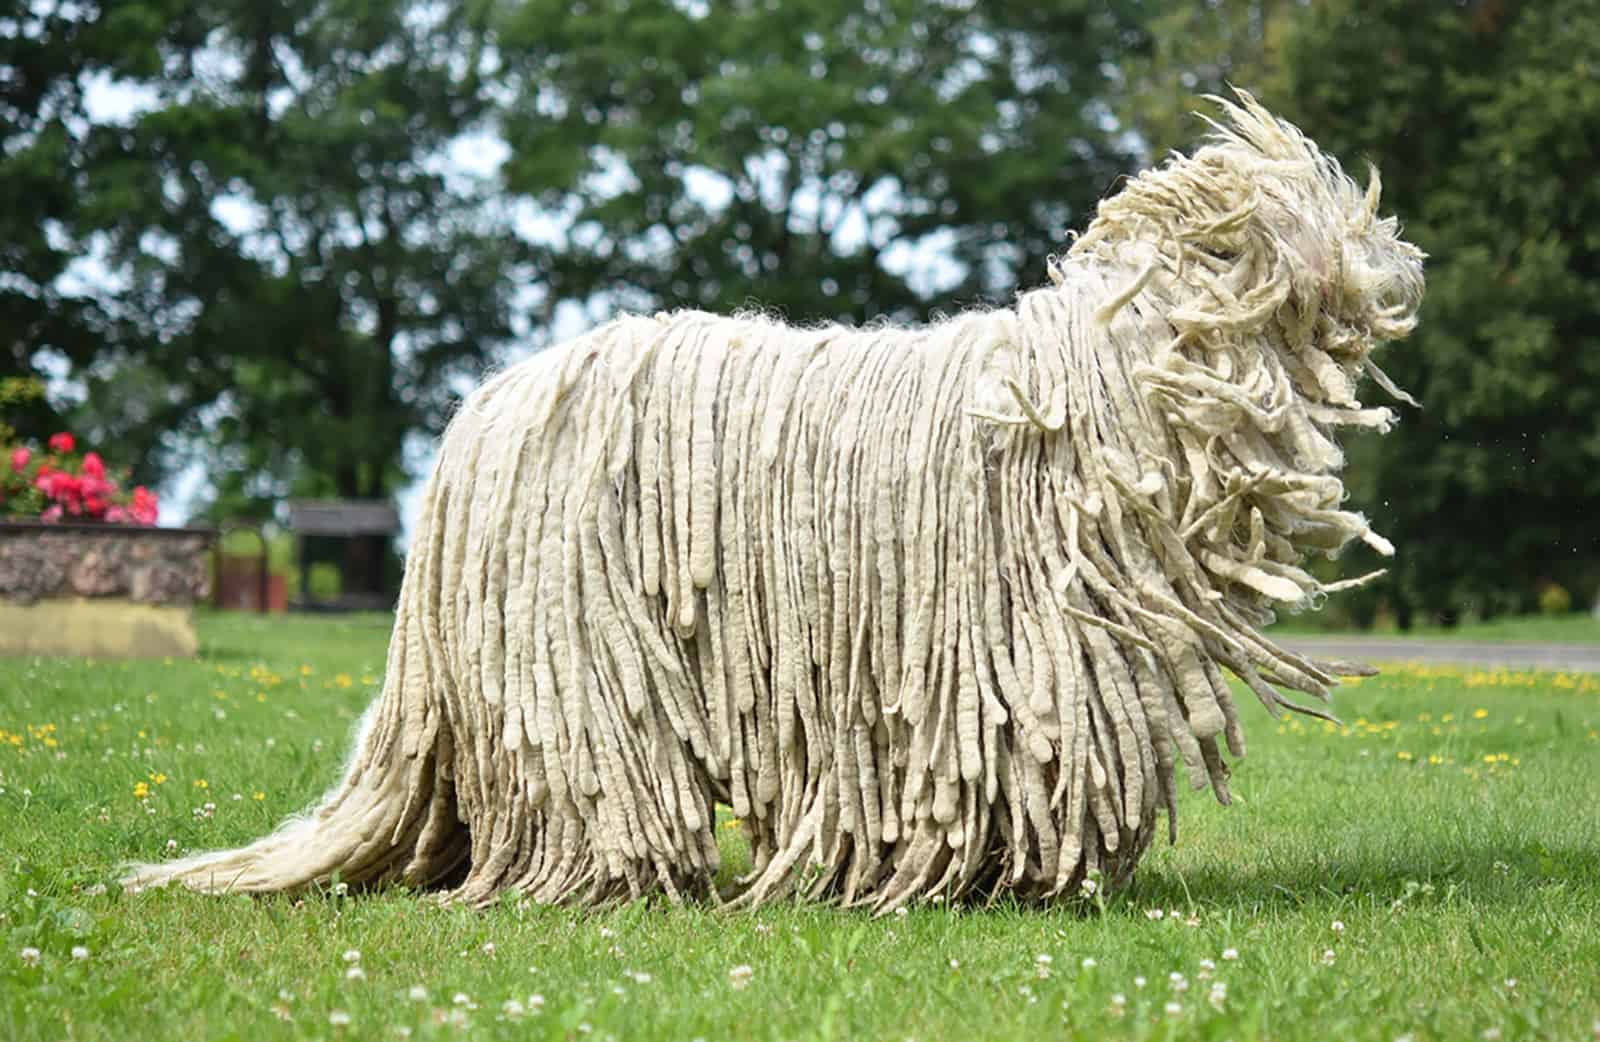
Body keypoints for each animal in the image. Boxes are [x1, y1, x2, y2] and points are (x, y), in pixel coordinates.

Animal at [124, 93, 1427, 909]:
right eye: (1314, 205)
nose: (1394, 261)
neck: (1115, 372)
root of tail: (476, 420)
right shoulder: (1023, 655)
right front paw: (993, 879)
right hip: (577, 644)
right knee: (591, 779)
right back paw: (618, 876)